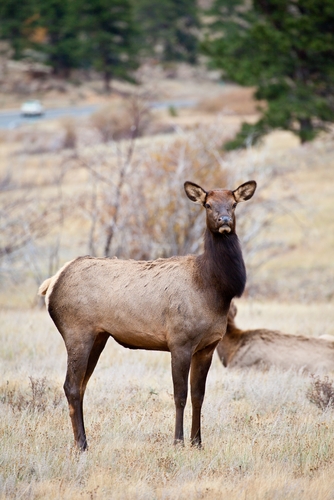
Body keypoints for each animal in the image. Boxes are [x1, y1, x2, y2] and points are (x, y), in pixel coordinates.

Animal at [39, 179, 258, 450]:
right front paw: (178, 441)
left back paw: (84, 441)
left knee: (80, 385)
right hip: (76, 331)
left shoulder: (208, 346)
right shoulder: (180, 341)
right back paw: (81, 445)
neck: (214, 288)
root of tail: (51, 283)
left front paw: (197, 442)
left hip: (98, 336)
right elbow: (180, 395)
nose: (224, 220)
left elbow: (199, 396)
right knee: (70, 385)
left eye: (234, 203)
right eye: (208, 204)